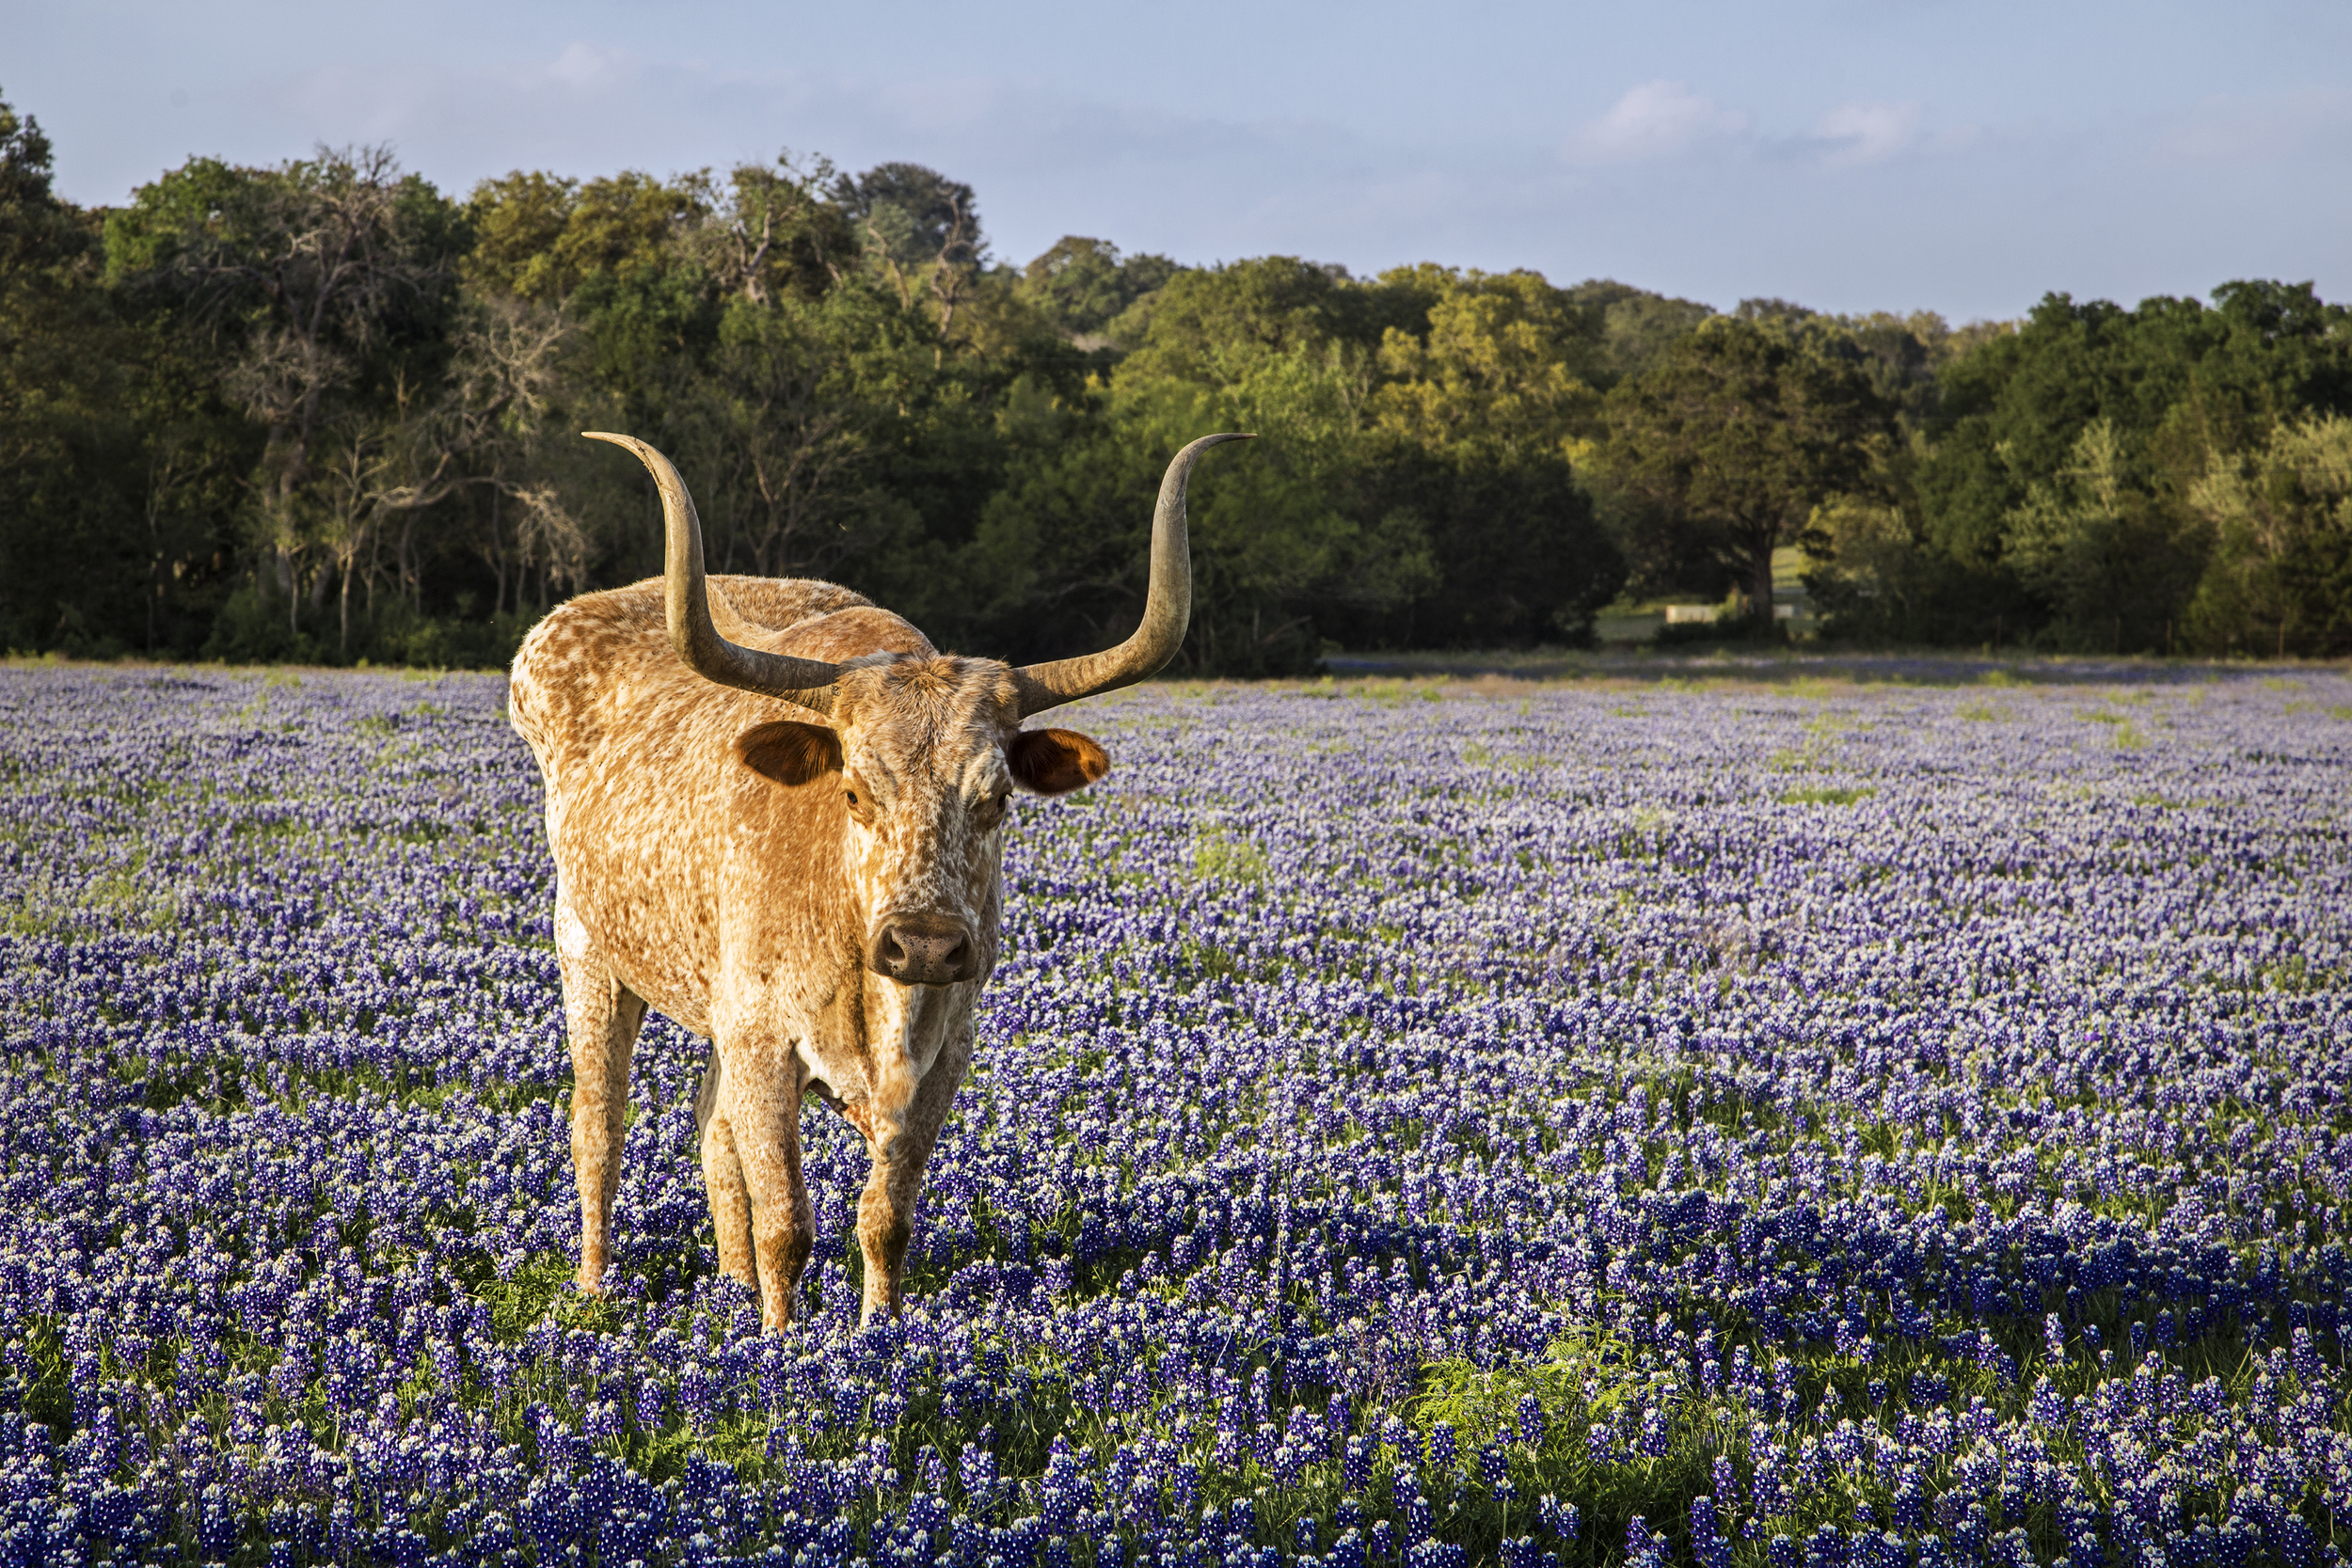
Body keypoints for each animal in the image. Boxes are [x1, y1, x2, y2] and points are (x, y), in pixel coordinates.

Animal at [508, 425, 1251, 1325]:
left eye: (998, 796)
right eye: (855, 790)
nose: (925, 944)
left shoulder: (941, 1054)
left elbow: (885, 1217)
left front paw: (879, 1335)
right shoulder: (764, 1039)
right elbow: (786, 1223)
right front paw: (780, 1340)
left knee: (711, 1130)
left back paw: (729, 1292)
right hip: (587, 949)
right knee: (599, 1128)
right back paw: (596, 1291)